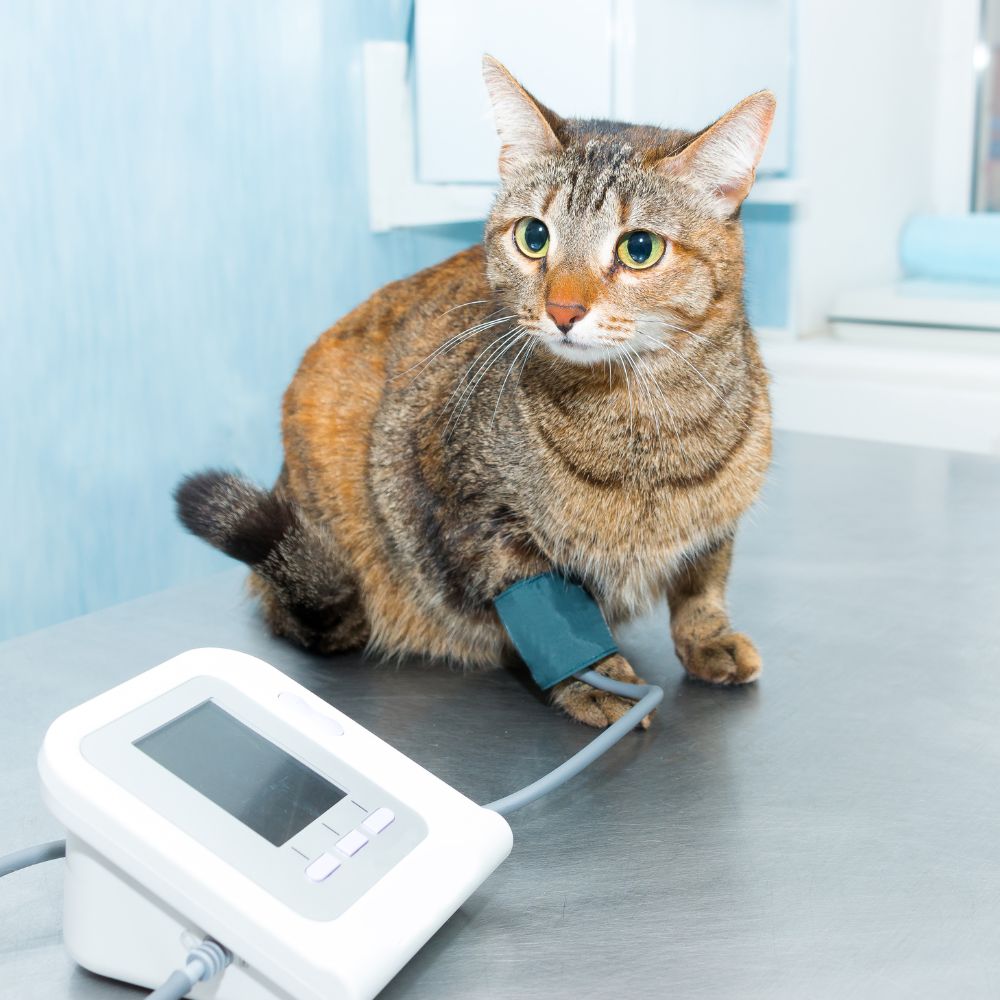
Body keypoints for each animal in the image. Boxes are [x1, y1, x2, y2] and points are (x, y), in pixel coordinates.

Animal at [176, 56, 776, 728]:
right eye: (534, 237)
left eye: (639, 248)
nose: (563, 310)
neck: (646, 427)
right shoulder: (480, 519)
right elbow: (557, 617)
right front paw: (600, 680)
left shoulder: (720, 522)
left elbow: (703, 584)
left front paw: (707, 638)